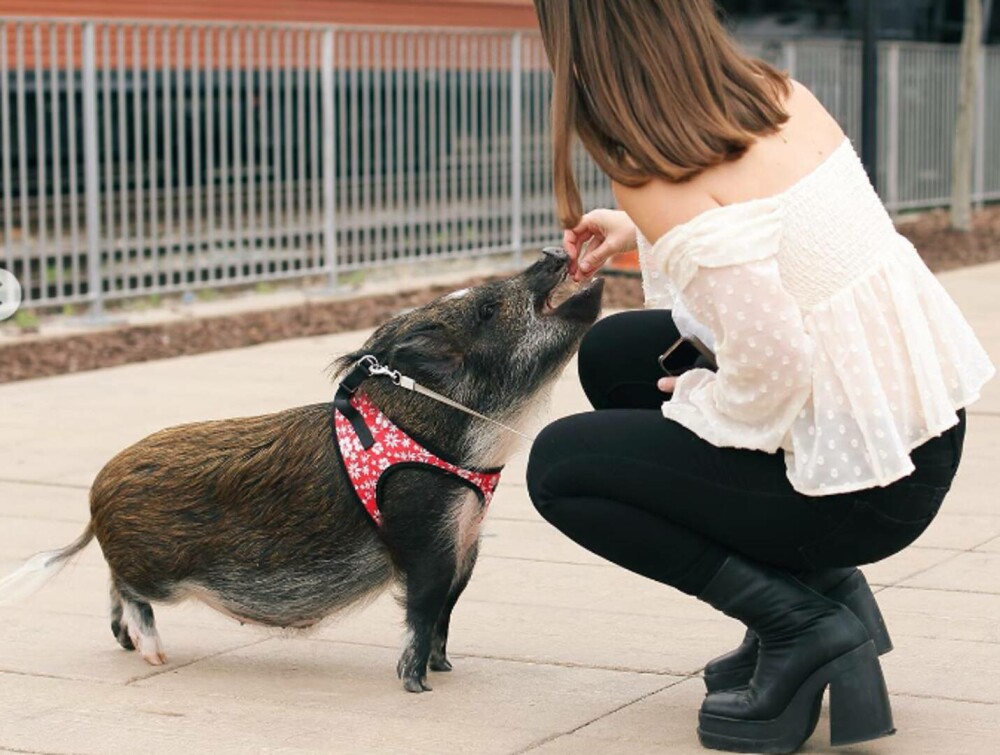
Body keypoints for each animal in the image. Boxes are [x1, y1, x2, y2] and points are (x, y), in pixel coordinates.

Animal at [0, 250, 600, 696]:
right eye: (490, 309)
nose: (553, 253)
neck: (472, 451)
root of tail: (95, 493)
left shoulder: (467, 539)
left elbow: (447, 614)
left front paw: (445, 671)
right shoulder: (424, 533)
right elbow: (424, 607)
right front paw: (417, 687)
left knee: (111, 589)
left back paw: (130, 648)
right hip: (155, 570)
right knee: (128, 590)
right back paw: (154, 657)